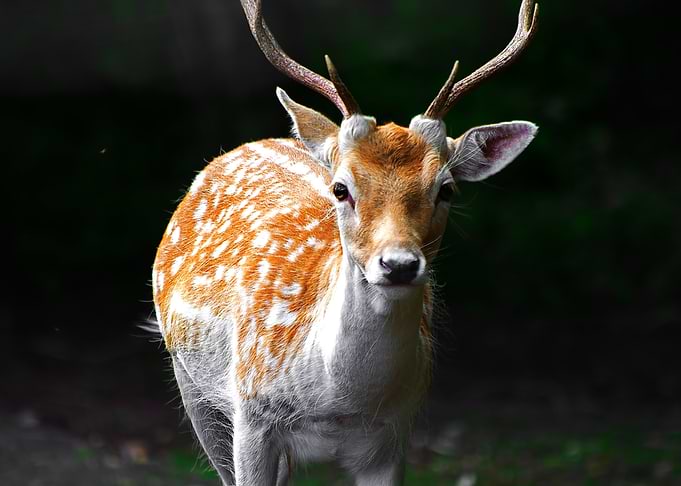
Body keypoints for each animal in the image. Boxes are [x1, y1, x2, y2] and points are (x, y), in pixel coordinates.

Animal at [152, 0, 538, 484]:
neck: (337, 402)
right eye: (341, 188)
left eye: (446, 189)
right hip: (190, 379)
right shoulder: (251, 416)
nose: (398, 264)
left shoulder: (393, 436)